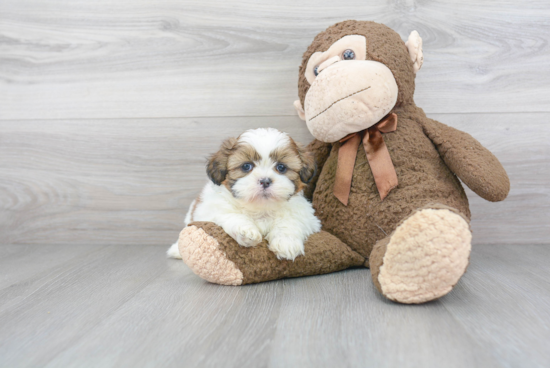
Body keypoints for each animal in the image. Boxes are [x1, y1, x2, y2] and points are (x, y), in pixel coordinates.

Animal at [169, 128, 324, 260]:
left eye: (281, 167)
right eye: (246, 166)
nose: (265, 181)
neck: (261, 208)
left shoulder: (306, 216)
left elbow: (290, 222)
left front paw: (286, 243)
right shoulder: (211, 210)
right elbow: (230, 215)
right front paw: (245, 231)